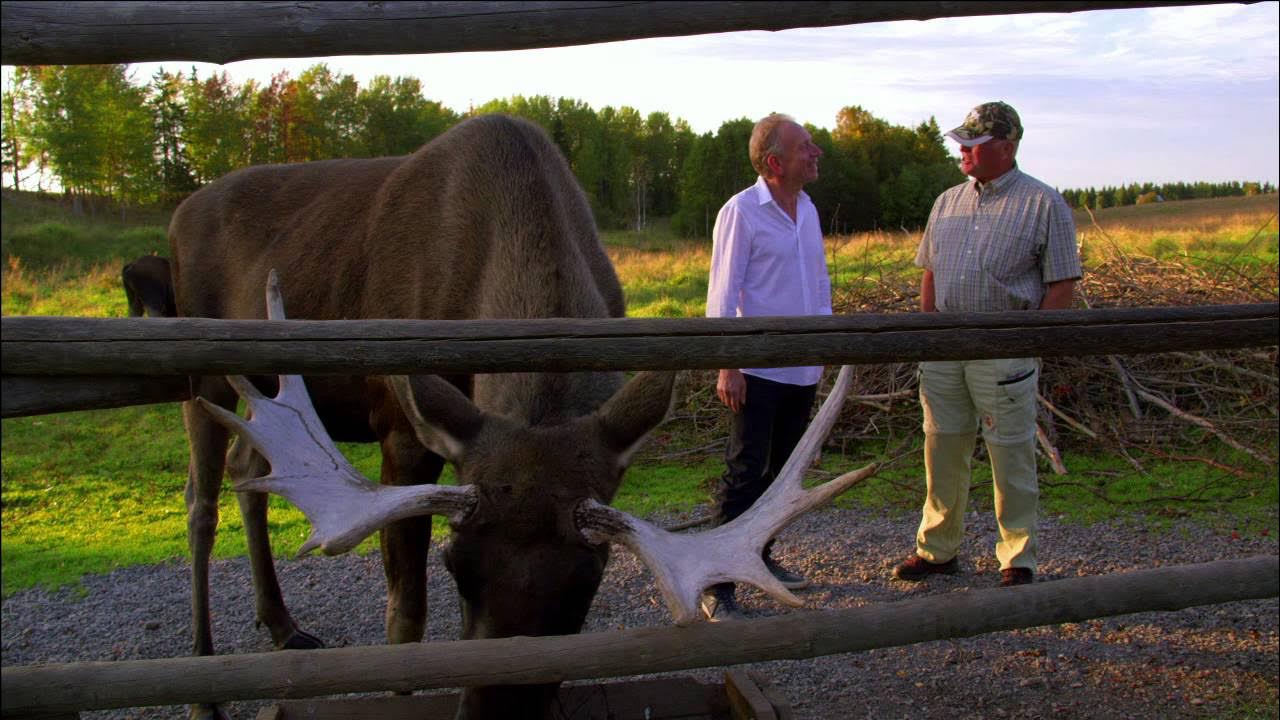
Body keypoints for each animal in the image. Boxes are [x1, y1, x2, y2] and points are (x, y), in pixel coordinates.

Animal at [169, 114, 875, 720]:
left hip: (262, 389)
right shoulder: (399, 432)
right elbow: (406, 619)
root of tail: (178, 214)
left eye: (591, 576)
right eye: (457, 565)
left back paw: (283, 625)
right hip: (201, 371)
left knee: (249, 465)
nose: (495, 717)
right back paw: (204, 688)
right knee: (201, 497)